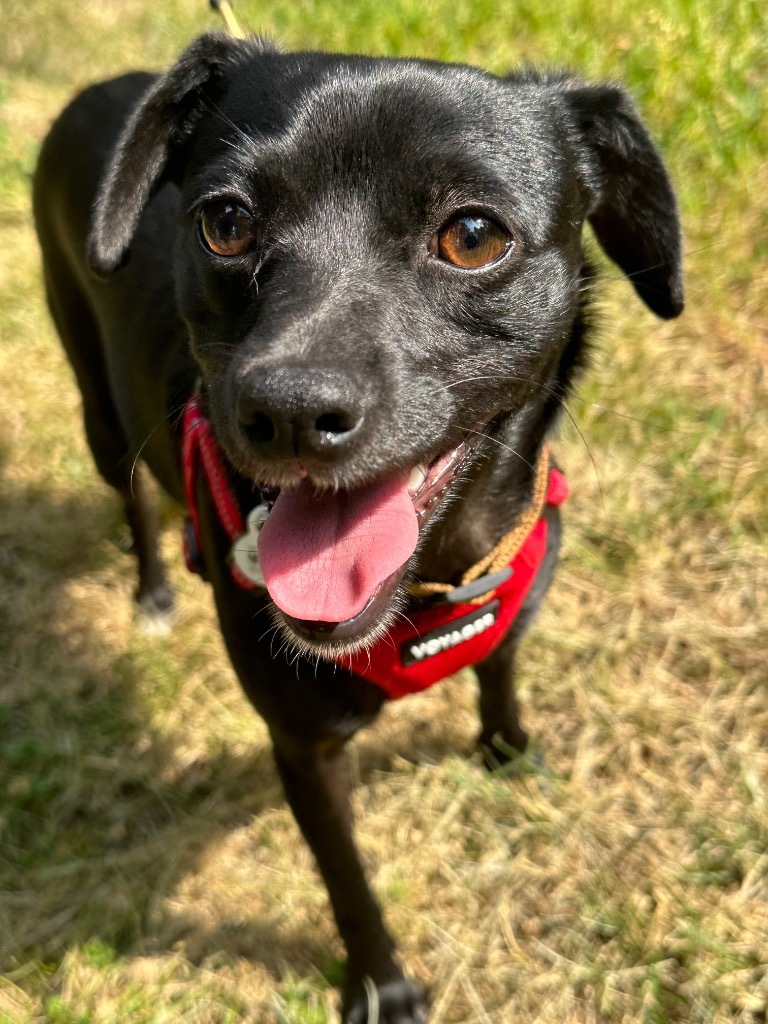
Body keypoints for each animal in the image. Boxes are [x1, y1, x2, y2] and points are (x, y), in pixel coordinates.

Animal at [31, 29, 684, 1015]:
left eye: (473, 235)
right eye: (226, 221)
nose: (289, 411)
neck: (434, 583)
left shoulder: (510, 603)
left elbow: (500, 668)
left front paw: (507, 750)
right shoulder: (303, 748)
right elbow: (347, 880)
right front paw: (384, 985)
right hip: (98, 407)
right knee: (134, 497)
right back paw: (149, 591)